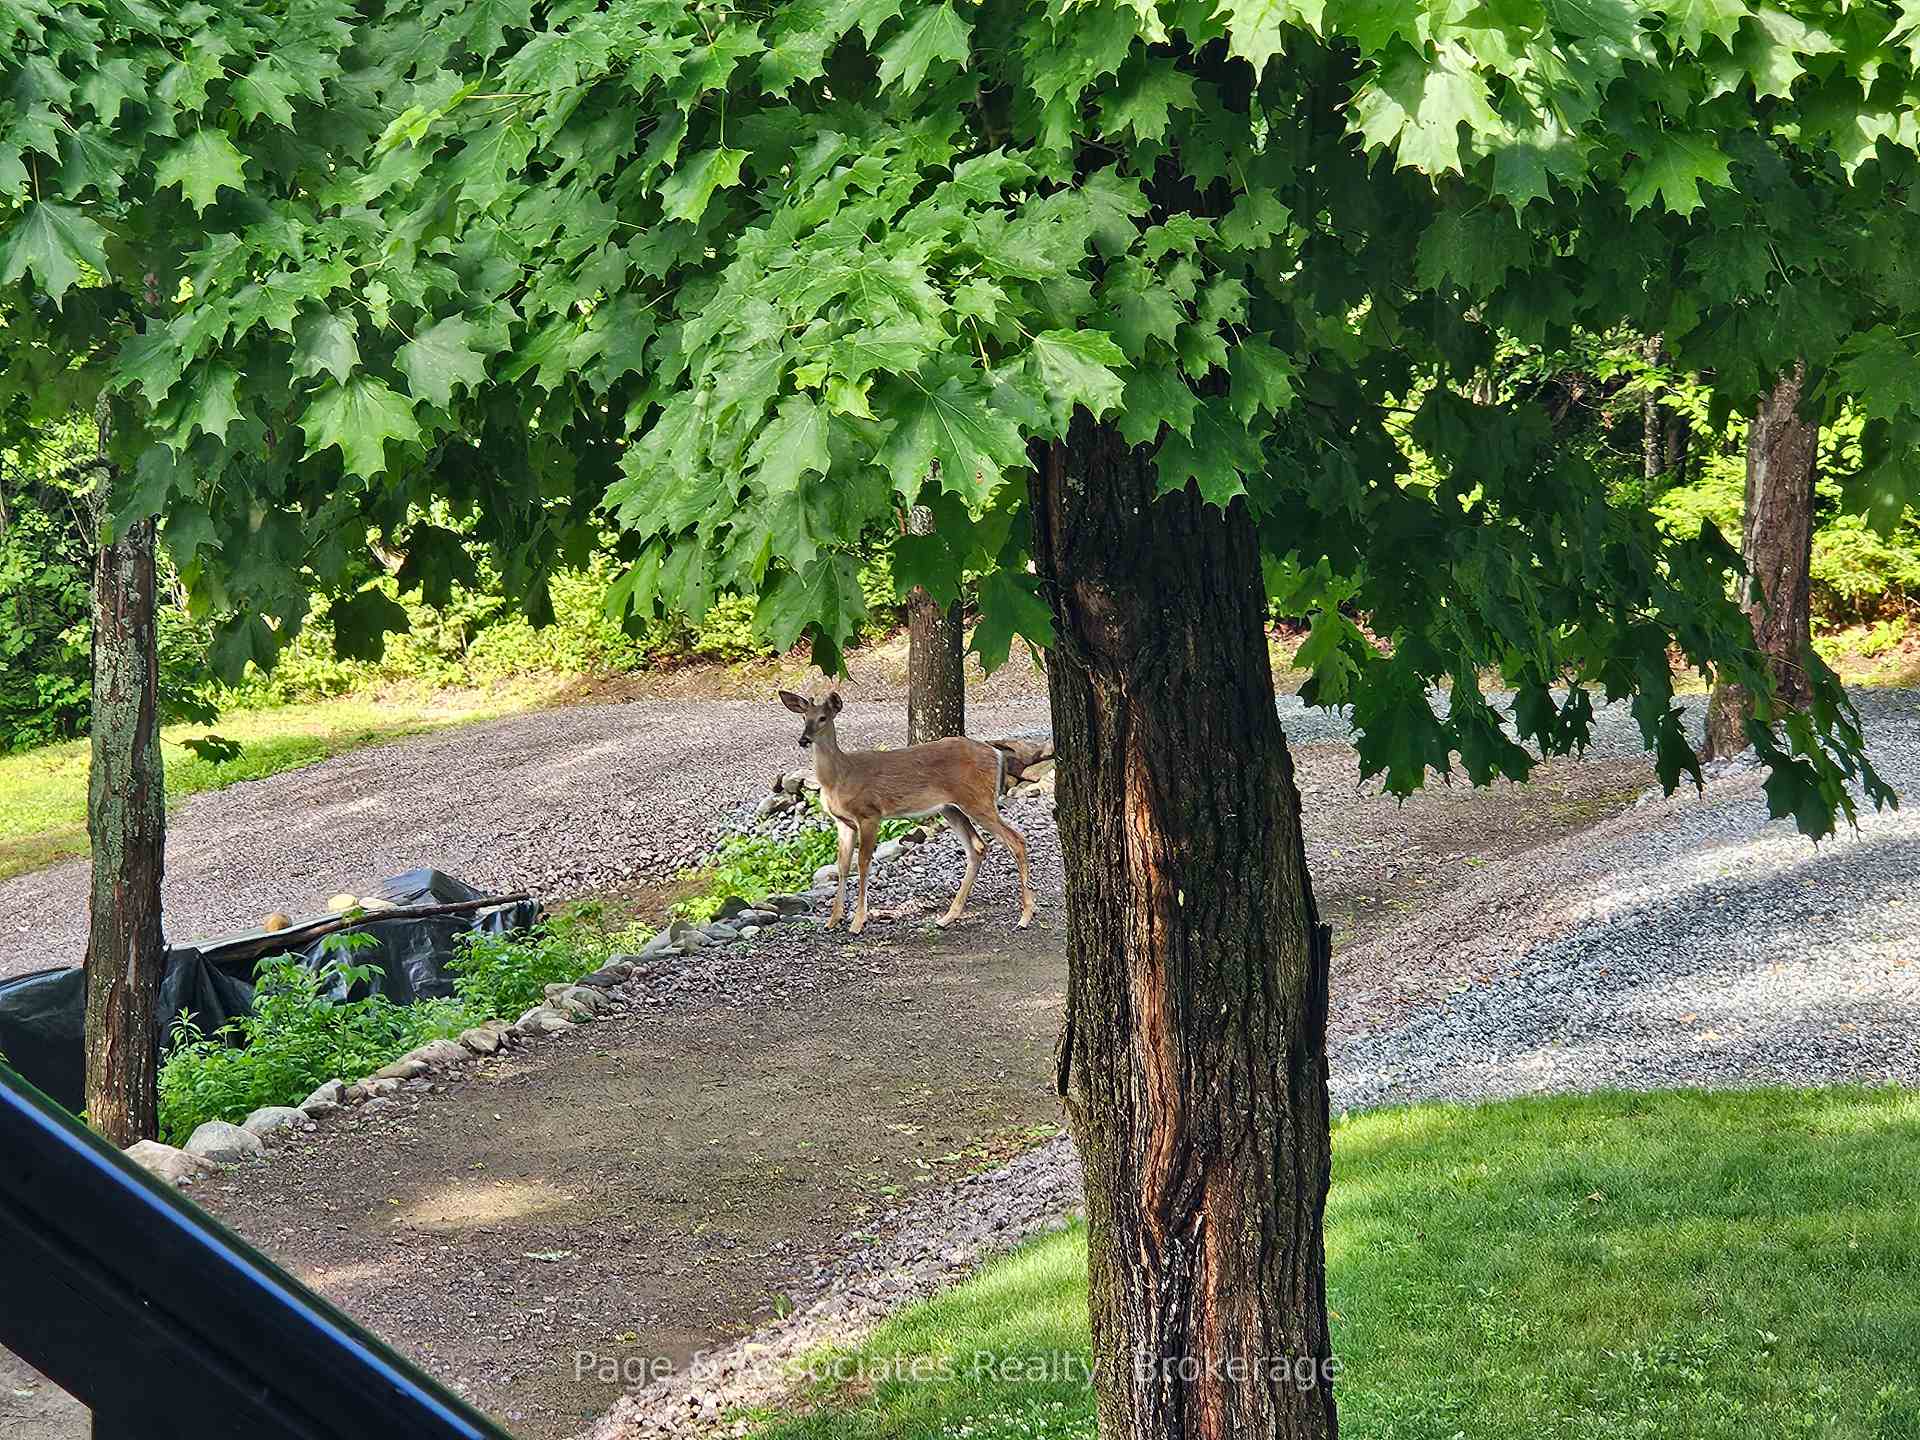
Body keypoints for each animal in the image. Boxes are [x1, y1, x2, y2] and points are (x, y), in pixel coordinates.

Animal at [778, 690, 1035, 935]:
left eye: (823, 718)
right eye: (804, 717)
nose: (803, 739)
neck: (839, 778)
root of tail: (996, 753)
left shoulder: (870, 813)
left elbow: (862, 863)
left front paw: (858, 922)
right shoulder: (843, 822)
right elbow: (842, 866)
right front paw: (832, 921)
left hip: (978, 800)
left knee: (1016, 840)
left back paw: (1024, 917)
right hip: (951, 808)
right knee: (978, 847)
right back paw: (947, 918)